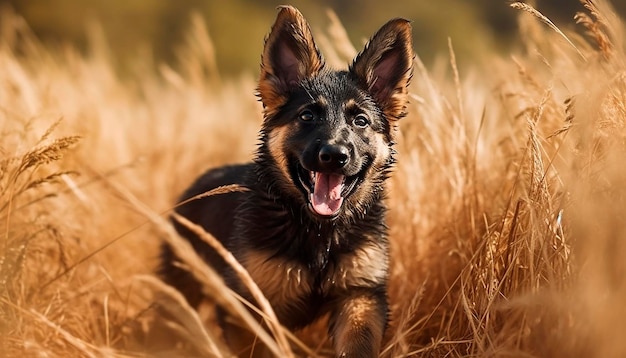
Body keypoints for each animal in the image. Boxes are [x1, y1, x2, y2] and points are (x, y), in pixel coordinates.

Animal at [160, 6, 414, 358]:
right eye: (307, 116)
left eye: (360, 121)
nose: (334, 155)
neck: (319, 233)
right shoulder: (252, 308)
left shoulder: (360, 297)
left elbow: (357, 344)